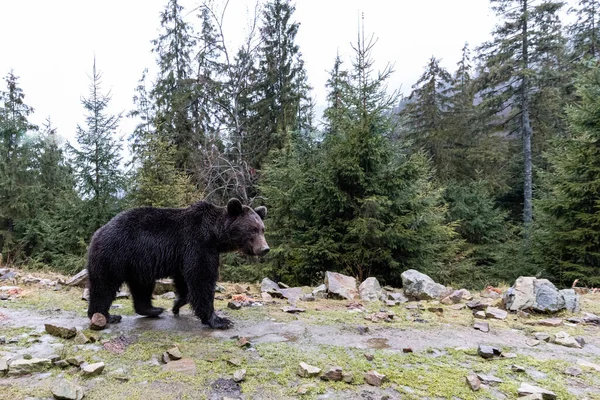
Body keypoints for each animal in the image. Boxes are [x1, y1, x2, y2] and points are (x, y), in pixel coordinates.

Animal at [85, 198, 268, 330]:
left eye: (262, 229)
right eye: (252, 229)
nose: (265, 249)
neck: (215, 236)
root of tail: (97, 233)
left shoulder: (184, 255)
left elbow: (184, 279)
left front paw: (177, 304)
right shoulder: (198, 244)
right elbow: (202, 277)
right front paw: (219, 320)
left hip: (138, 264)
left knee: (142, 286)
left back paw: (153, 309)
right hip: (114, 254)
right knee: (104, 285)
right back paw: (106, 315)